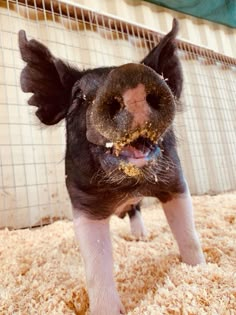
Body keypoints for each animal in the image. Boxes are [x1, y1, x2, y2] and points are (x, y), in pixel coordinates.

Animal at [18, 19, 205, 315]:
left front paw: (198, 268)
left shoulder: (175, 180)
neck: (129, 185)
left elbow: (188, 234)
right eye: (78, 96)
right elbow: (97, 263)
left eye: (158, 76)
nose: (129, 73)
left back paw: (141, 237)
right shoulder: (82, 201)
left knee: (137, 211)